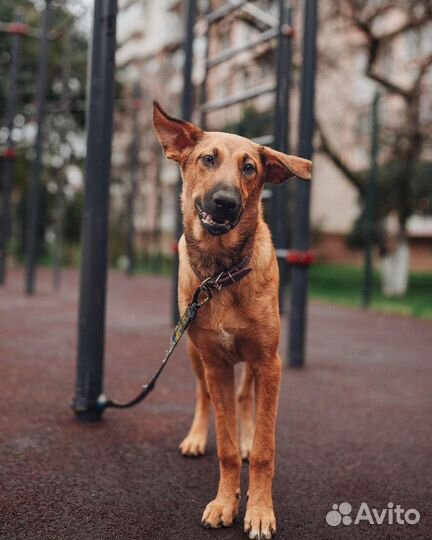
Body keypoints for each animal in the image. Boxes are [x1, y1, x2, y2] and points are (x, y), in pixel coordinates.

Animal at [153, 102, 310, 540]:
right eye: (208, 159)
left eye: (250, 168)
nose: (224, 202)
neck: (221, 274)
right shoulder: (215, 364)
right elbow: (222, 446)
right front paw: (225, 503)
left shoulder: (269, 363)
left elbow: (264, 449)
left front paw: (258, 510)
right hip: (192, 353)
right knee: (203, 397)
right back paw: (196, 438)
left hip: (254, 362)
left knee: (244, 401)